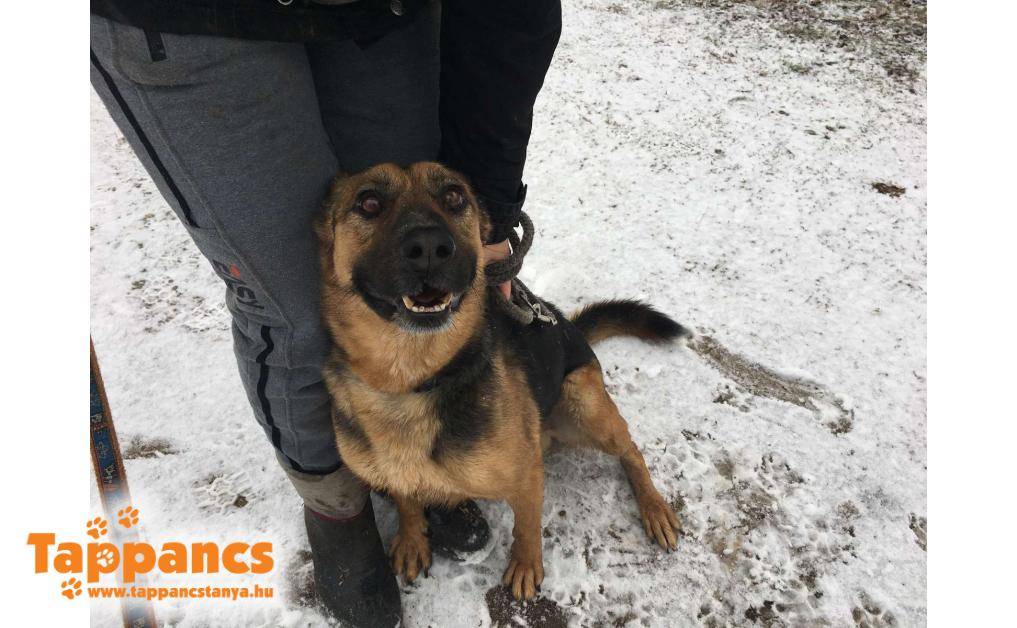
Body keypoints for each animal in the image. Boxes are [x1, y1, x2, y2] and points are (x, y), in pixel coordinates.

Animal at [314, 162, 684, 601]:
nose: (429, 247)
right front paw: (412, 538)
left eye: (454, 197)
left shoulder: (526, 474)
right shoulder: (395, 469)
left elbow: (526, 525)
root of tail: (571, 328)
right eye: (369, 202)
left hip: (582, 402)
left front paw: (525, 566)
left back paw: (654, 508)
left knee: (630, 450)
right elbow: (407, 500)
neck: (409, 381)